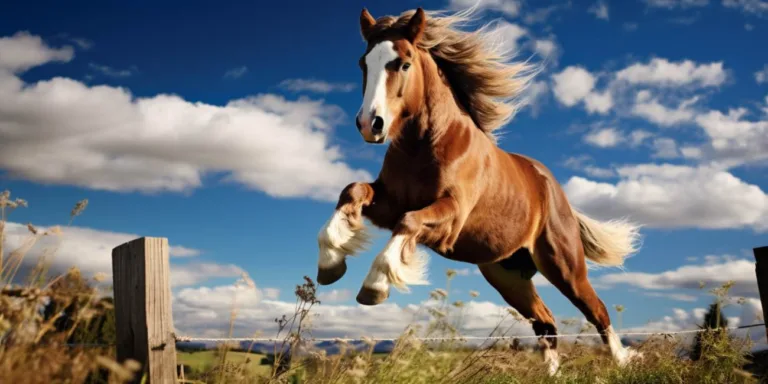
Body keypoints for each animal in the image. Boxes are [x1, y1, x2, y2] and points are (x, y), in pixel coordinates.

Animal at [316, 6, 644, 376]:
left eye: (403, 63)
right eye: (364, 62)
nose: (369, 125)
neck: (426, 144)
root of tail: (554, 190)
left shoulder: (450, 216)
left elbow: (410, 222)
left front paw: (374, 286)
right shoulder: (389, 202)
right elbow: (352, 192)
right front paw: (330, 263)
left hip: (564, 266)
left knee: (597, 311)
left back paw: (623, 361)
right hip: (508, 277)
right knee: (545, 323)